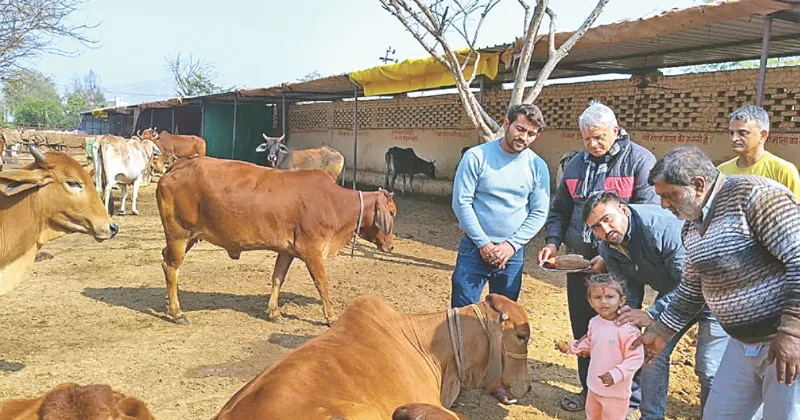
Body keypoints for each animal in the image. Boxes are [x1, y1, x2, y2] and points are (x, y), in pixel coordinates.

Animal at [155, 157, 396, 324]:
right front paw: (331, 316)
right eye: (392, 212)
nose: (391, 245)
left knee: (166, 261)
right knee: (171, 267)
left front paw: (274, 312)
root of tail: (179, 165)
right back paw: (177, 313)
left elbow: (278, 278)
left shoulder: (287, 250)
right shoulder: (312, 249)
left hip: (187, 237)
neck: (335, 203)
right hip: (179, 233)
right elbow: (322, 283)